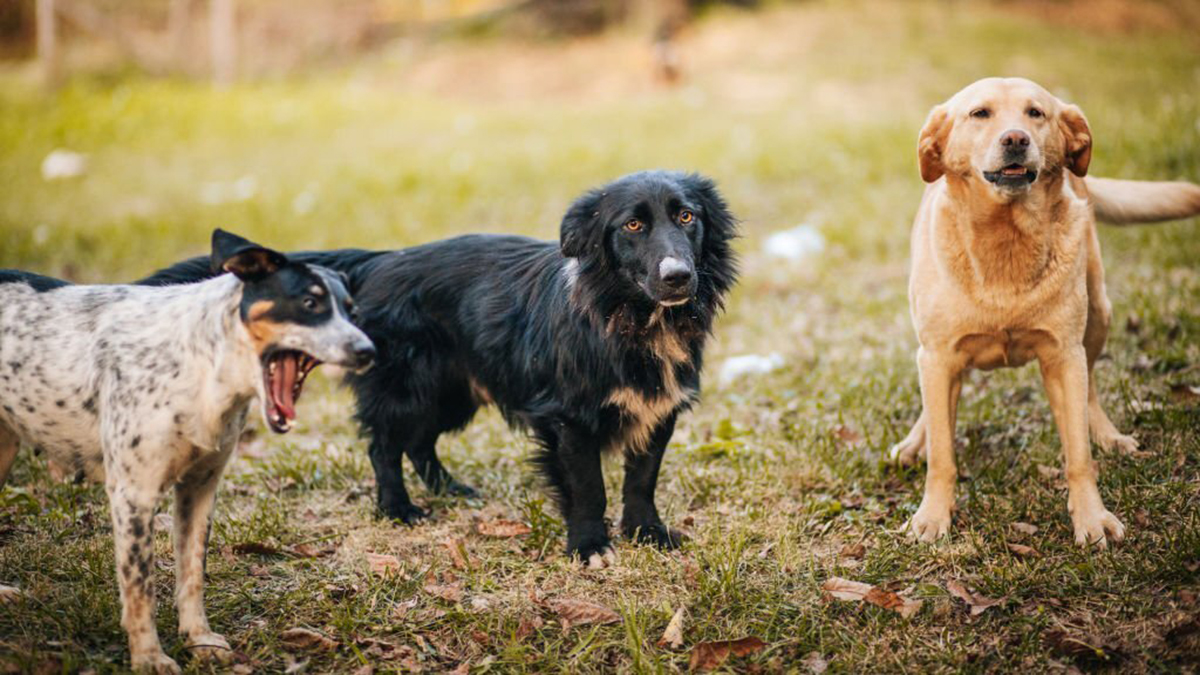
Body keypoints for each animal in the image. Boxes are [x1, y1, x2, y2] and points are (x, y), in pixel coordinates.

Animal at [0, 228, 372, 667]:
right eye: (309, 303)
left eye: (351, 312)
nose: (368, 351)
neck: (204, 367)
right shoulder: (134, 494)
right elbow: (140, 587)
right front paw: (148, 658)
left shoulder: (200, 487)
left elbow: (192, 572)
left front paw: (199, 639)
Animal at [144, 170, 734, 559]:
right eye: (632, 227)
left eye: (687, 217)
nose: (679, 276)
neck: (630, 318)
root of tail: (380, 261)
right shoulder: (568, 419)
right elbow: (589, 486)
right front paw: (590, 546)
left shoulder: (660, 412)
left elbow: (641, 480)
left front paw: (647, 535)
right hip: (408, 387)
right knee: (385, 446)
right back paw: (398, 509)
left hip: (451, 391)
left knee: (420, 443)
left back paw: (448, 489)